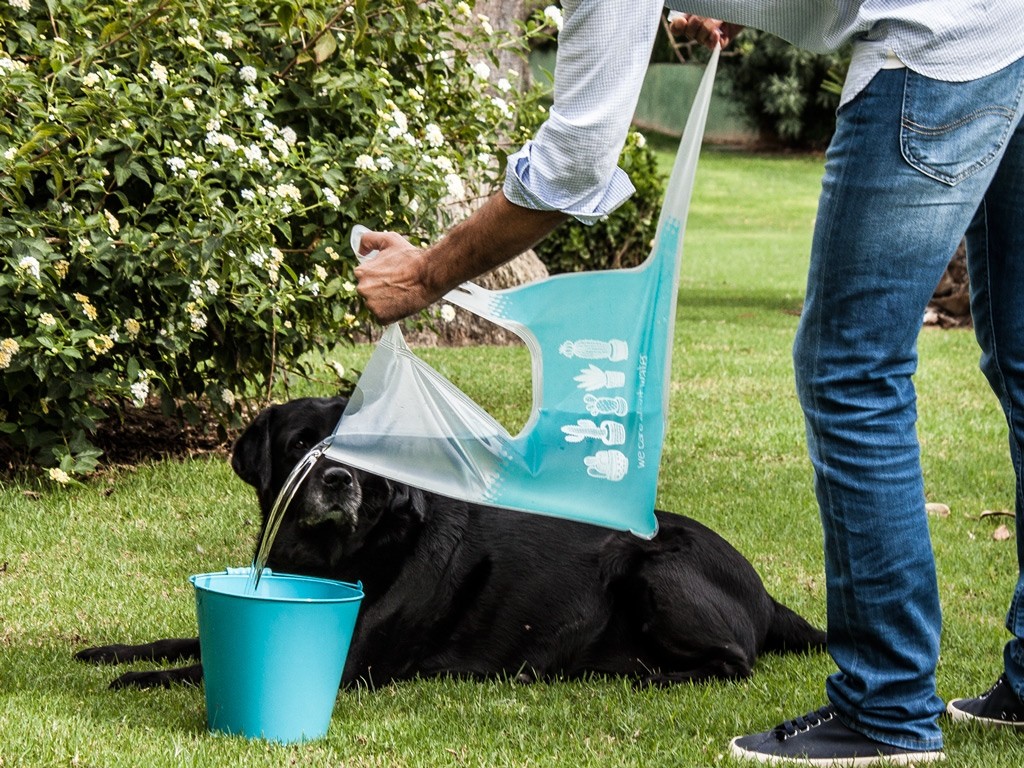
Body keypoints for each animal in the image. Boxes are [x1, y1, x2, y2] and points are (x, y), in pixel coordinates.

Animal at [77, 397, 823, 692]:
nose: (340, 479)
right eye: (298, 446)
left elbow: (196, 667)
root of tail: (766, 595)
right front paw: (109, 653)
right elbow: (178, 641)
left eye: (361, 452)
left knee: (733, 662)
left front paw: (137, 680)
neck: (336, 555)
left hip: (652, 569)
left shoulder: (347, 661)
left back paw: (637, 674)